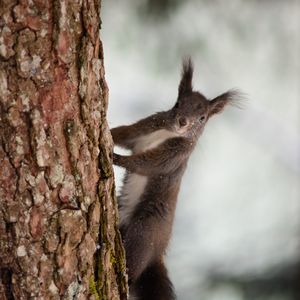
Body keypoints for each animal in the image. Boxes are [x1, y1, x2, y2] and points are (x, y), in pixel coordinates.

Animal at [110, 57, 239, 298]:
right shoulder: (145, 128)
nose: (182, 122)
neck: (169, 133)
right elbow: (124, 133)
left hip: (145, 232)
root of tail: (157, 253)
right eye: (178, 103)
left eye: (202, 118)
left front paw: (117, 158)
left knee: (133, 265)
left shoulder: (174, 157)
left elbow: (146, 164)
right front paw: (106, 132)